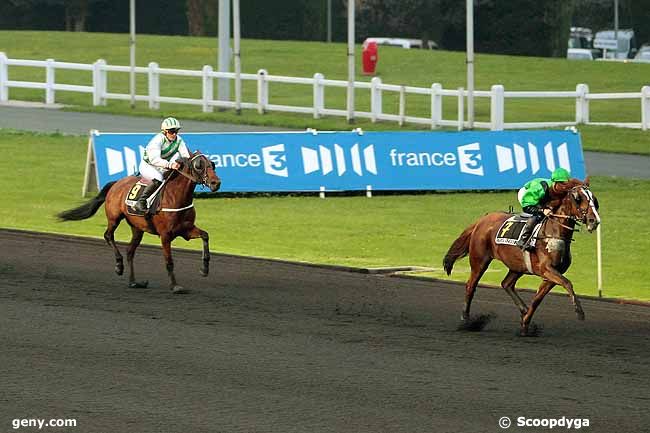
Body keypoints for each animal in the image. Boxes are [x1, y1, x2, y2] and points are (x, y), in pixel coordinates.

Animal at [58, 152, 220, 294]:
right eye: (199, 165)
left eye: (212, 164)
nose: (216, 183)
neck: (175, 196)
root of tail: (116, 183)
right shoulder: (165, 235)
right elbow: (169, 262)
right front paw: (175, 286)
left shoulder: (186, 230)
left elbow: (205, 236)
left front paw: (204, 269)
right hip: (114, 218)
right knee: (108, 236)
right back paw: (119, 266)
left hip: (137, 228)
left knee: (130, 251)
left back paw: (134, 282)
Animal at [442, 178, 600, 334]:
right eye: (578, 198)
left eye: (594, 199)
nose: (594, 220)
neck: (554, 232)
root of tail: (482, 219)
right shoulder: (546, 269)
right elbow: (567, 283)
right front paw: (579, 311)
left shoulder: (552, 275)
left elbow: (537, 299)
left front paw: (525, 323)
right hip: (479, 261)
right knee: (471, 286)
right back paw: (466, 320)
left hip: (516, 266)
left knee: (506, 284)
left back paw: (523, 310)